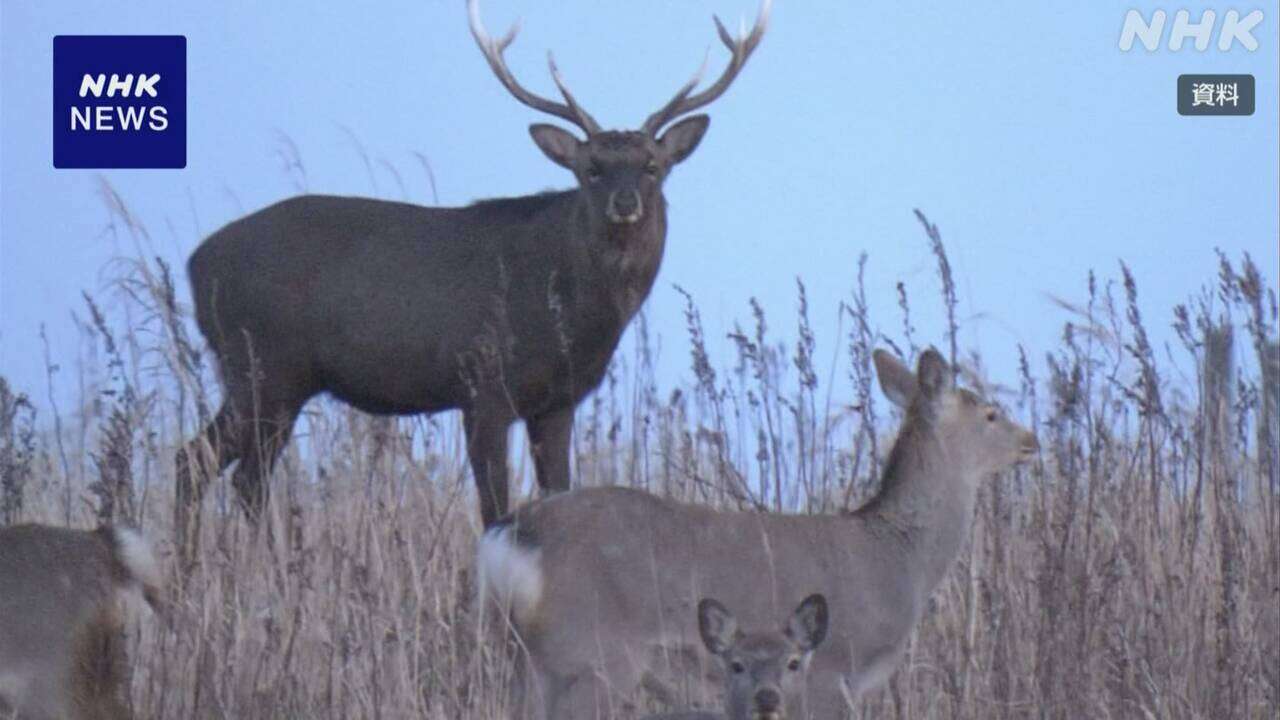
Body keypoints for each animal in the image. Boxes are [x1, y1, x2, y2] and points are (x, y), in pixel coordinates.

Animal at [481, 345, 1039, 712]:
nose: (1031, 440)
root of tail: (511, 537)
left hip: (532, 660)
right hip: (589, 653)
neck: (902, 557)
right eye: (991, 413)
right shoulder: (831, 668)